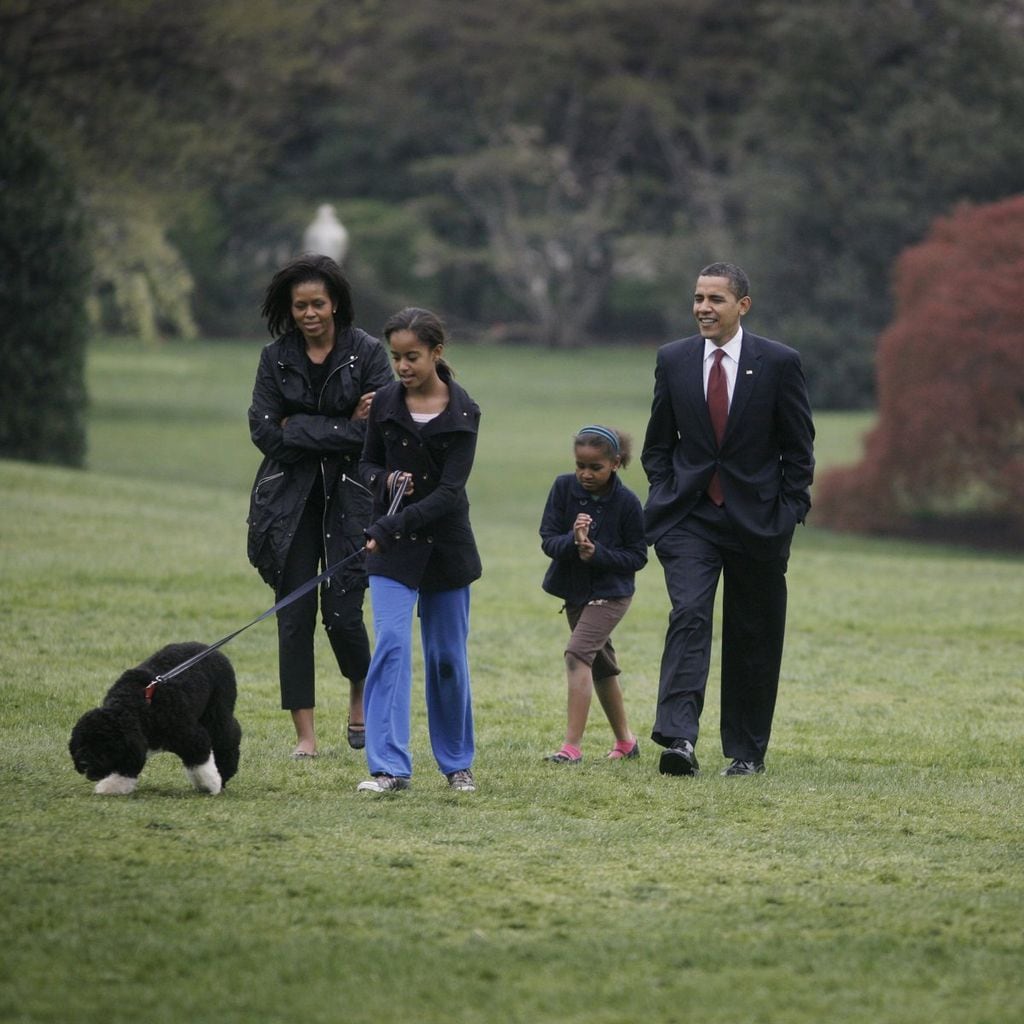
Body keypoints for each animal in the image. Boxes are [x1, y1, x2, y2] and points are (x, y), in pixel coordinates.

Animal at [69, 643, 242, 794]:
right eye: (81, 742)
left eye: (104, 744)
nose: (83, 763)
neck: (140, 708)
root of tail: (212, 649)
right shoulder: (134, 745)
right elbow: (126, 768)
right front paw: (111, 787)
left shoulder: (190, 736)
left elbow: (200, 762)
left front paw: (210, 785)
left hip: (217, 711)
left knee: (229, 735)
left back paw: (225, 772)